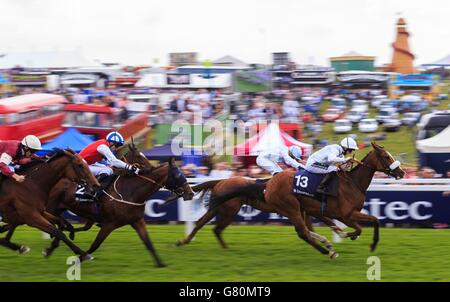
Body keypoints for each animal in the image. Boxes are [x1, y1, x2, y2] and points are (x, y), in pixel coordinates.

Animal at [42, 146, 195, 266]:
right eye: (177, 176)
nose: (191, 193)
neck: (130, 191)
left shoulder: (137, 221)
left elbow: (148, 243)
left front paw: (160, 264)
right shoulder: (109, 224)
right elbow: (95, 245)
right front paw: (80, 258)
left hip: (61, 208)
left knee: (60, 225)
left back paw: (55, 243)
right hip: (50, 207)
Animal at [204, 143, 404, 258]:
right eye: (386, 156)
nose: (401, 172)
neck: (352, 183)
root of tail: (269, 184)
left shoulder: (331, 213)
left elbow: (366, 223)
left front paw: (346, 236)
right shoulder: (347, 214)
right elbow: (367, 224)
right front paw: (367, 242)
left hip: (296, 209)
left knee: (305, 230)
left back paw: (327, 247)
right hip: (290, 207)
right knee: (302, 232)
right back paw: (327, 251)